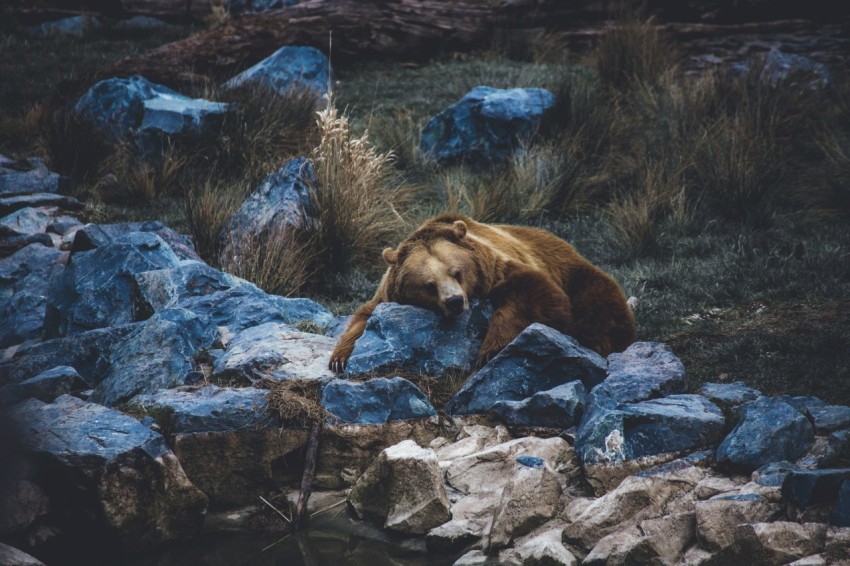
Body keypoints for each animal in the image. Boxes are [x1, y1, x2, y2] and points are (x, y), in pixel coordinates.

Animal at [328, 213, 636, 372]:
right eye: (429, 284)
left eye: (457, 272)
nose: (455, 301)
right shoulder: (386, 294)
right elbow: (362, 316)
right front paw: (340, 358)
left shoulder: (500, 266)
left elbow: (538, 295)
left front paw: (489, 350)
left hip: (573, 271)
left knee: (599, 304)